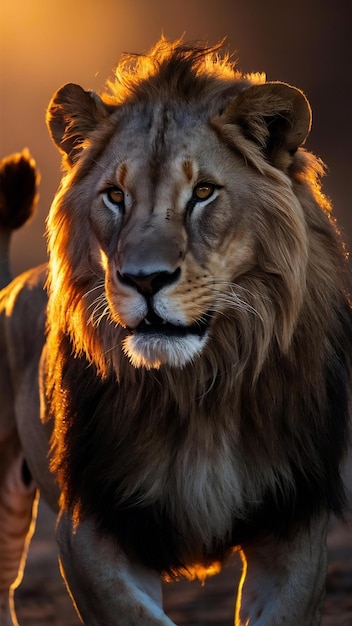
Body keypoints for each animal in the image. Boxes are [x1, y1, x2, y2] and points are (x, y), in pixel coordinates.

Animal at [0, 39, 352, 624]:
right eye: (115, 196)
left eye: (204, 192)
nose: (145, 280)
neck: (197, 388)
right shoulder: (92, 522)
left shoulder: (294, 520)